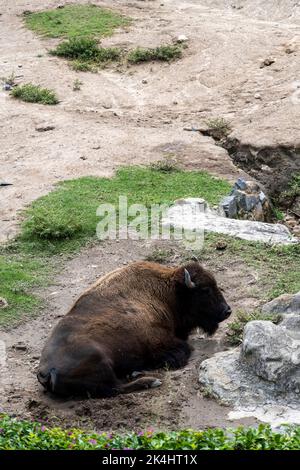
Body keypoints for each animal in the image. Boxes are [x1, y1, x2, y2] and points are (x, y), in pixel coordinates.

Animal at [37, 260, 230, 396]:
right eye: (205, 290)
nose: (227, 311)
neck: (168, 293)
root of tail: (47, 370)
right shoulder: (163, 343)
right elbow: (183, 350)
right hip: (100, 360)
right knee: (115, 388)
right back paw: (150, 381)